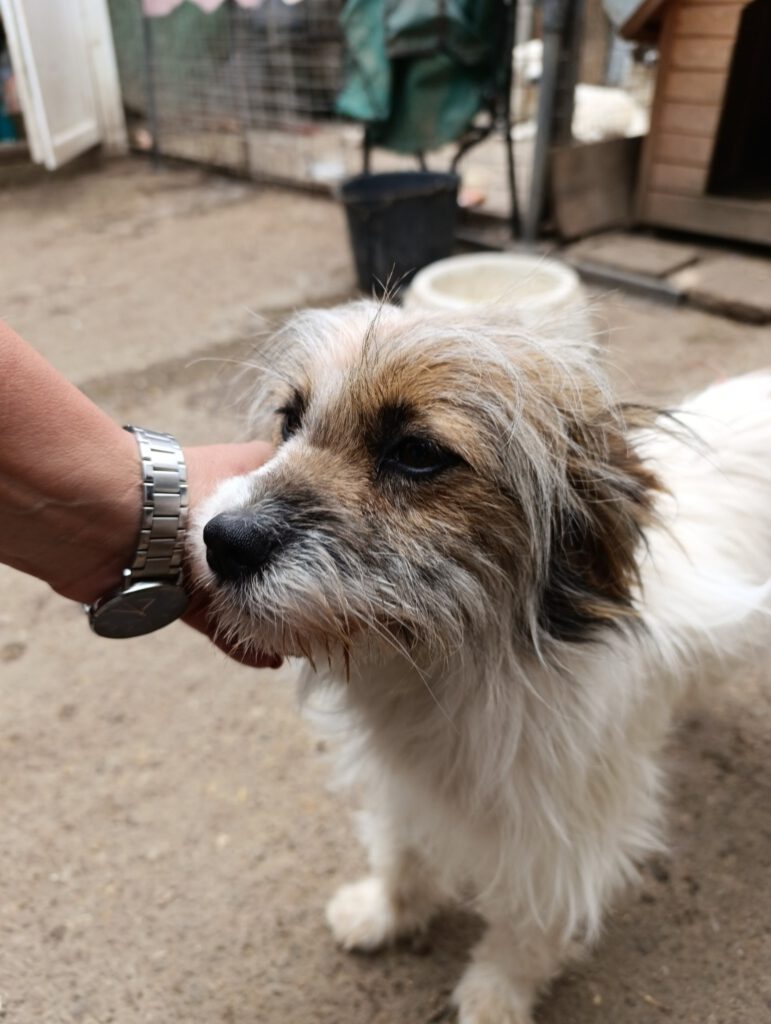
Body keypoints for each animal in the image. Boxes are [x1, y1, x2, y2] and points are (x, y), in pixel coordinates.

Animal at [190, 301, 771, 1023]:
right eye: (290, 421)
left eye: (417, 454)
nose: (221, 541)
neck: (452, 661)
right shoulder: (401, 777)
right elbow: (404, 851)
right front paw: (386, 912)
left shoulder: (562, 831)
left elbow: (528, 924)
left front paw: (495, 994)